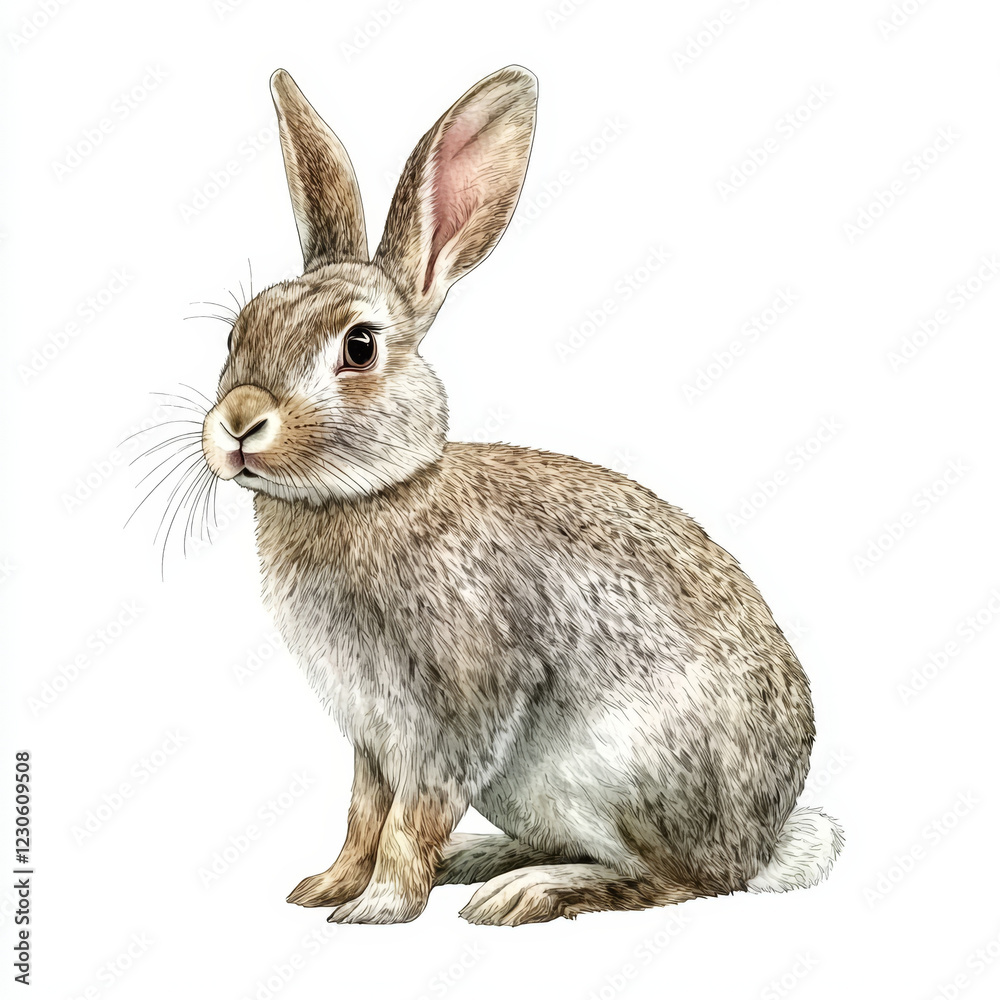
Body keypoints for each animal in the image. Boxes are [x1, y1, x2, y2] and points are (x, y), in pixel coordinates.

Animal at [197, 64, 844, 925]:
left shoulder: (455, 708)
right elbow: (365, 813)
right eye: (237, 331)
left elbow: (410, 817)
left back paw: (524, 891)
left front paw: (378, 908)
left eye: (359, 346)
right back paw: (481, 861)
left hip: (614, 775)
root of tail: (762, 844)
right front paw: (326, 887)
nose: (239, 423)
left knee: (677, 880)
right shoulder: (371, 735)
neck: (366, 496)